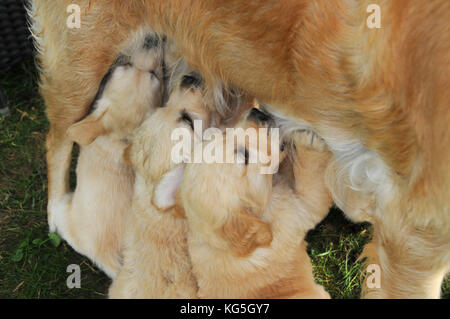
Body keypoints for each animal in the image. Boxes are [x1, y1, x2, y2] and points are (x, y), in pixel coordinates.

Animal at [48, 43, 163, 278]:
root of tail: (105, 255)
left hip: (64, 210)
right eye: (129, 66)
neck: (119, 138)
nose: (151, 41)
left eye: (154, 74)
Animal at [178, 110, 330, 300]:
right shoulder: (296, 212)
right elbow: (312, 186)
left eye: (224, 133)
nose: (257, 112)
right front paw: (308, 142)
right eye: (245, 156)